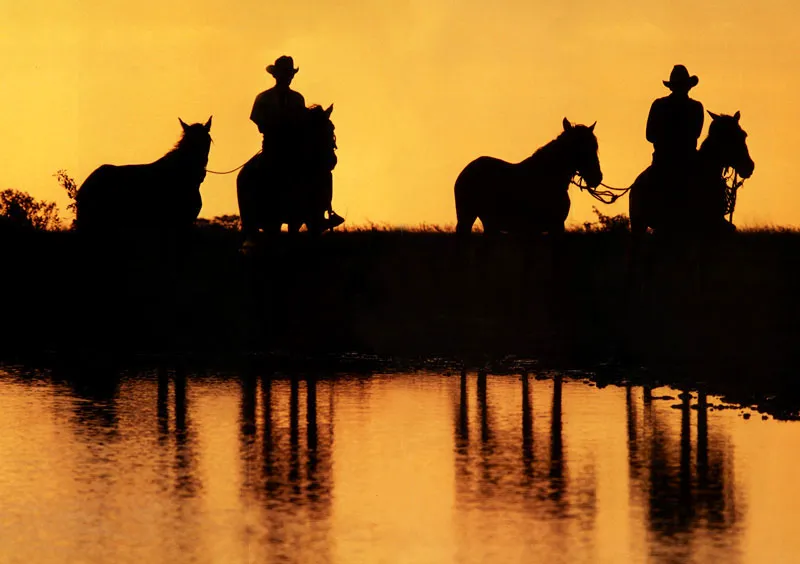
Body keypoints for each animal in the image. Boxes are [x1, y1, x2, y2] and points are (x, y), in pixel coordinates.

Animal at [456, 118, 600, 237]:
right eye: (579, 148)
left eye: (595, 147)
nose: (597, 177)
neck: (548, 178)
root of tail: (467, 169)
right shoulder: (538, 229)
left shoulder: (555, 227)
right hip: (466, 219)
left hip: (490, 224)